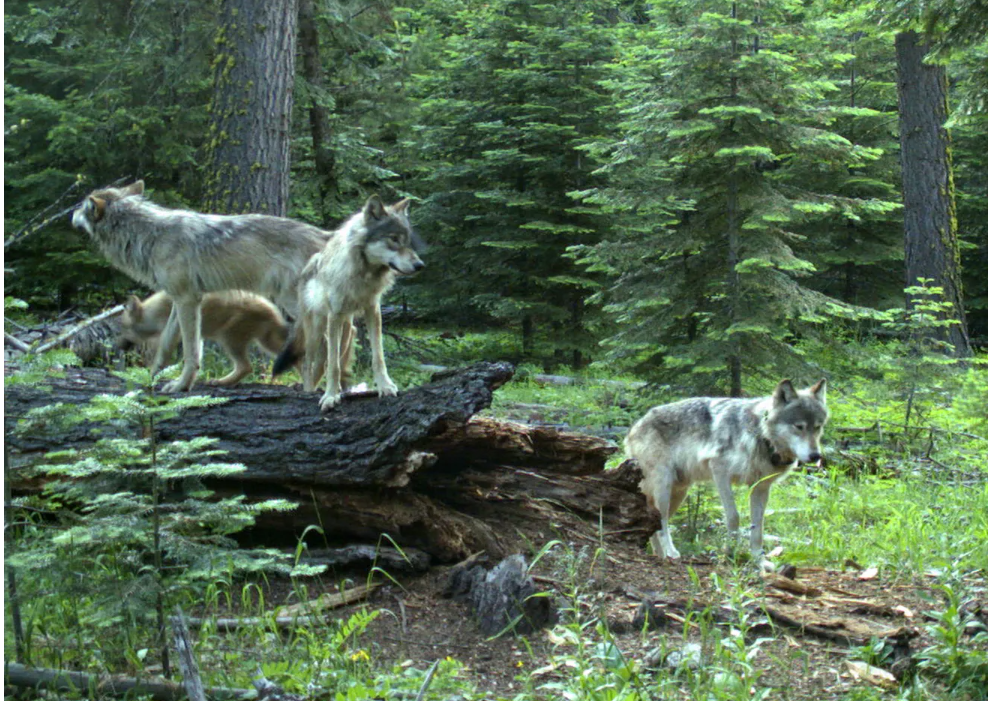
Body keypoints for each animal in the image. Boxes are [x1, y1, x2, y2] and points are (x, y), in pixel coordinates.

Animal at [119, 291, 291, 386]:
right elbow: (195, 359)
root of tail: (273, 312)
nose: (118, 346)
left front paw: (154, 375)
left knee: (245, 366)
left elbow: (163, 355)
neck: (152, 313)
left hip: (229, 338)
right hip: (265, 341)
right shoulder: (196, 336)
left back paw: (221, 381)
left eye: (122, 329)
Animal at [272, 195, 424, 411]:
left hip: (346, 331)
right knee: (309, 363)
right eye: (393, 239)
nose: (420, 265)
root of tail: (308, 265)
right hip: (317, 329)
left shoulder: (373, 310)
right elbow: (333, 366)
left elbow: (378, 357)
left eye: (407, 241)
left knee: (327, 363)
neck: (363, 274)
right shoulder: (334, 315)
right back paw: (310, 391)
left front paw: (385, 386)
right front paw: (329, 397)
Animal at [626, 379, 828, 570]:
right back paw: (670, 552)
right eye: (799, 426)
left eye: (818, 427)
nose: (815, 456)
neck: (760, 436)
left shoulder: (761, 487)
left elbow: (758, 527)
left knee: (655, 525)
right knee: (662, 523)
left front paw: (759, 561)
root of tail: (634, 427)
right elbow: (734, 516)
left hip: (678, 493)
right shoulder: (720, 472)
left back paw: (659, 556)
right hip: (664, 487)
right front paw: (731, 553)